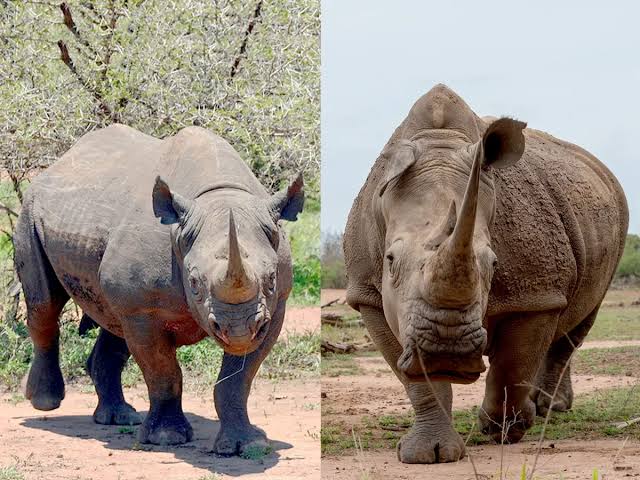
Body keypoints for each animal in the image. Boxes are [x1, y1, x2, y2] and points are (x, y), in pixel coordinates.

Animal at [14, 124, 304, 454]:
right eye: (194, 283)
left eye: (271, 279)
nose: (238, 330)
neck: (219, 197)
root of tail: (57, 164)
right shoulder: (143, 309)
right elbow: (163, 371)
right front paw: (166, 438)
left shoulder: (274, 308)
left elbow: (237, 380)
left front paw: (248, 444)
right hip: (30, 210)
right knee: (44, 305)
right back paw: (45, 402)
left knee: (112, 322)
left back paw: (119, 418)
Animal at [343, 84, 628, 463]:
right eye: (390, 260)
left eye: (494, 263)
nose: (446, 349)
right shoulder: (368, 294)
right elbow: (416, 380)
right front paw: (428, 453)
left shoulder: (535, 293)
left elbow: (512, 364)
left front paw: (503, 430)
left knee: (578, 320)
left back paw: (548, 409)